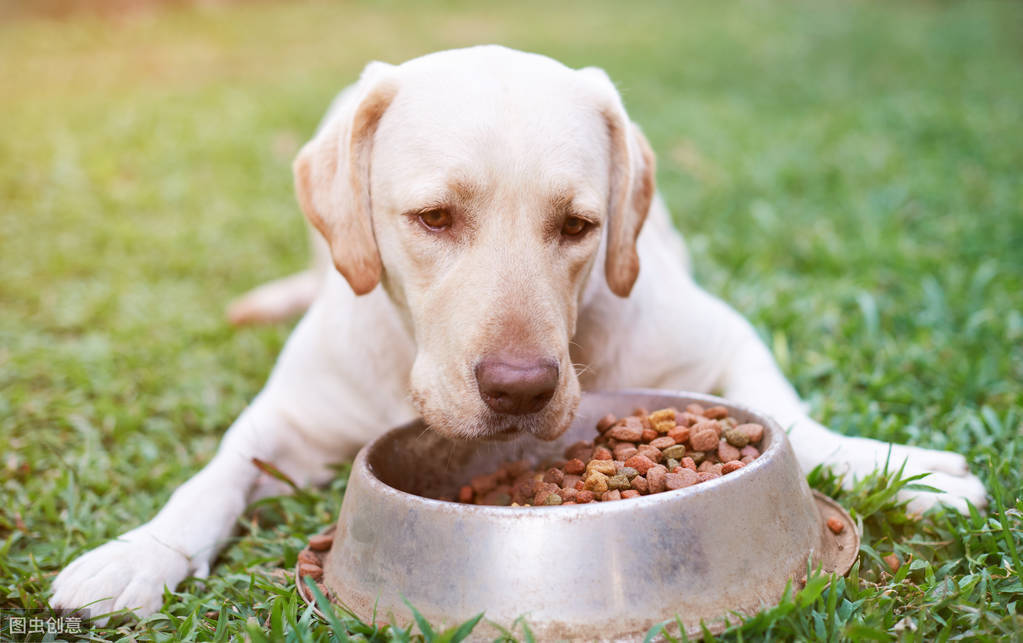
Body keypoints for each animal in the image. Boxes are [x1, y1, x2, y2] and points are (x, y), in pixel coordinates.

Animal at [48, 43, 982, 617]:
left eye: (578, 226)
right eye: (432, 217)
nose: (520, 387)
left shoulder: (717, 333)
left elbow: (789, 414)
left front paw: (895, 467)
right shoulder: (287, 417)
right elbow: (215, 475)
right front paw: (140, 549)